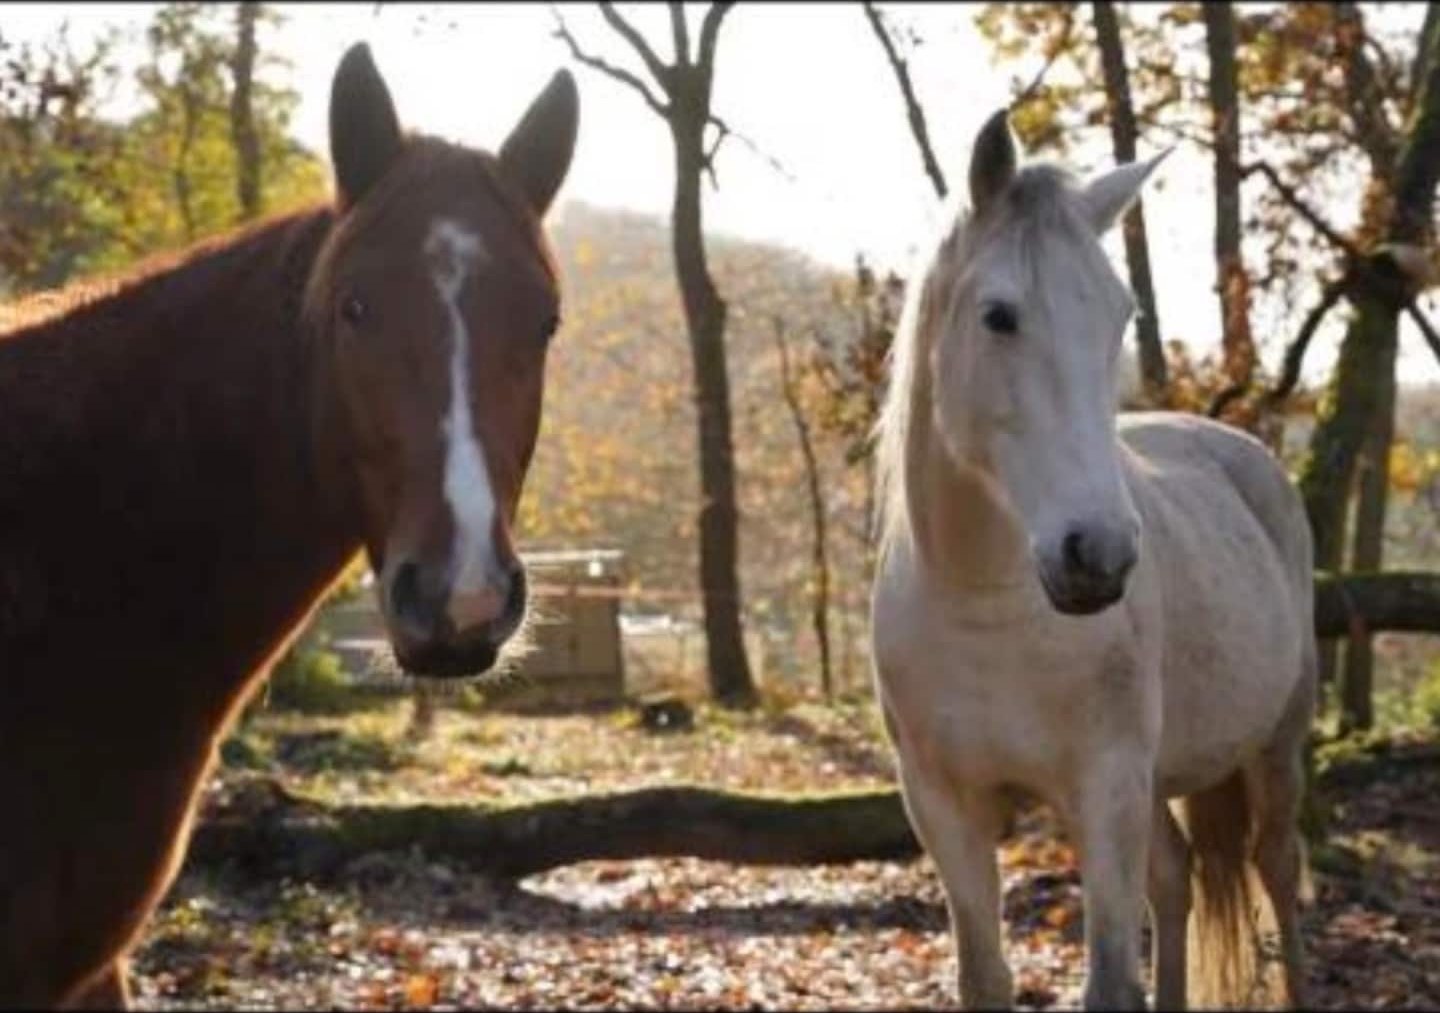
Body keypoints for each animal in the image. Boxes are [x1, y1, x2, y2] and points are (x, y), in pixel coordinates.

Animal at [870, 109, 1315, 1011]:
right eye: (999, 315)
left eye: (1118, 315)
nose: (1099, 555)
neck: (982, 604)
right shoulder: (944, 806)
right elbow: (986, 976)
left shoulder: (1103, 788)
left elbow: (1111, 979)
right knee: (1177, 881)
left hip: (1276, 743)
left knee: (1275, 868)